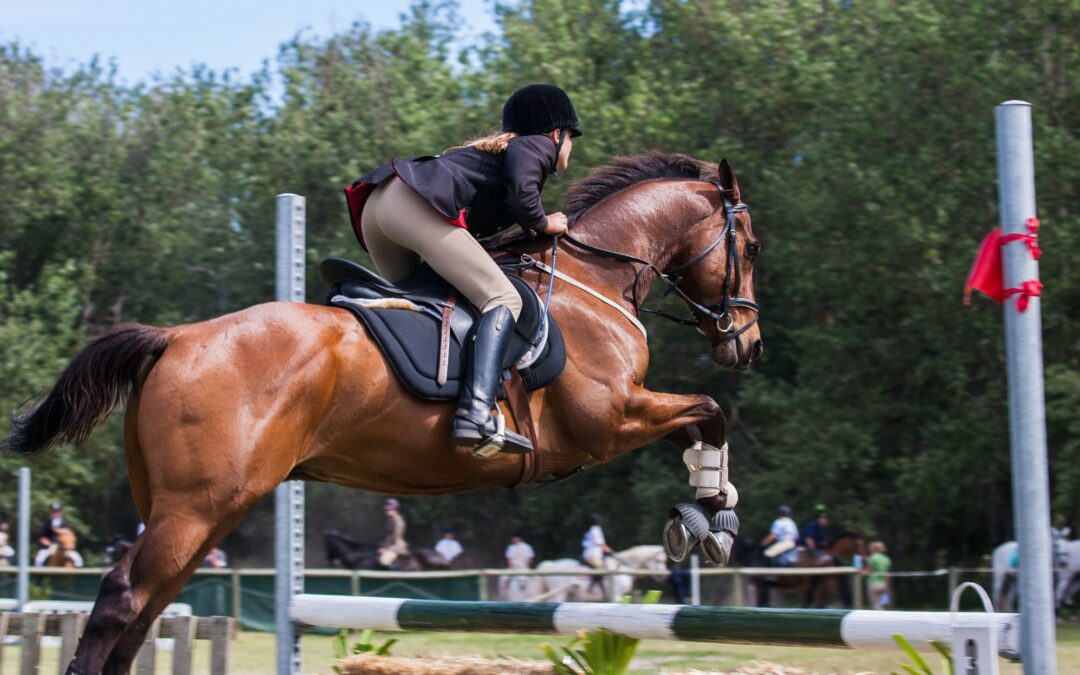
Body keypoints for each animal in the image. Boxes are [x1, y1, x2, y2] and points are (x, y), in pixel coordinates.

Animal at [4, 154, 760, 673]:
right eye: (748, 248)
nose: (745, 344)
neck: (591, 282)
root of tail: (176, 338)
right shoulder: (607, 421)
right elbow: (708, 411)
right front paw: (710, 518)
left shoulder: (619, 418)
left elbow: (701, 417)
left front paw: (708, 509)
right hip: (196, 505)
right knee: (123, 596)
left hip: (195, 510)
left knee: (146, 606)